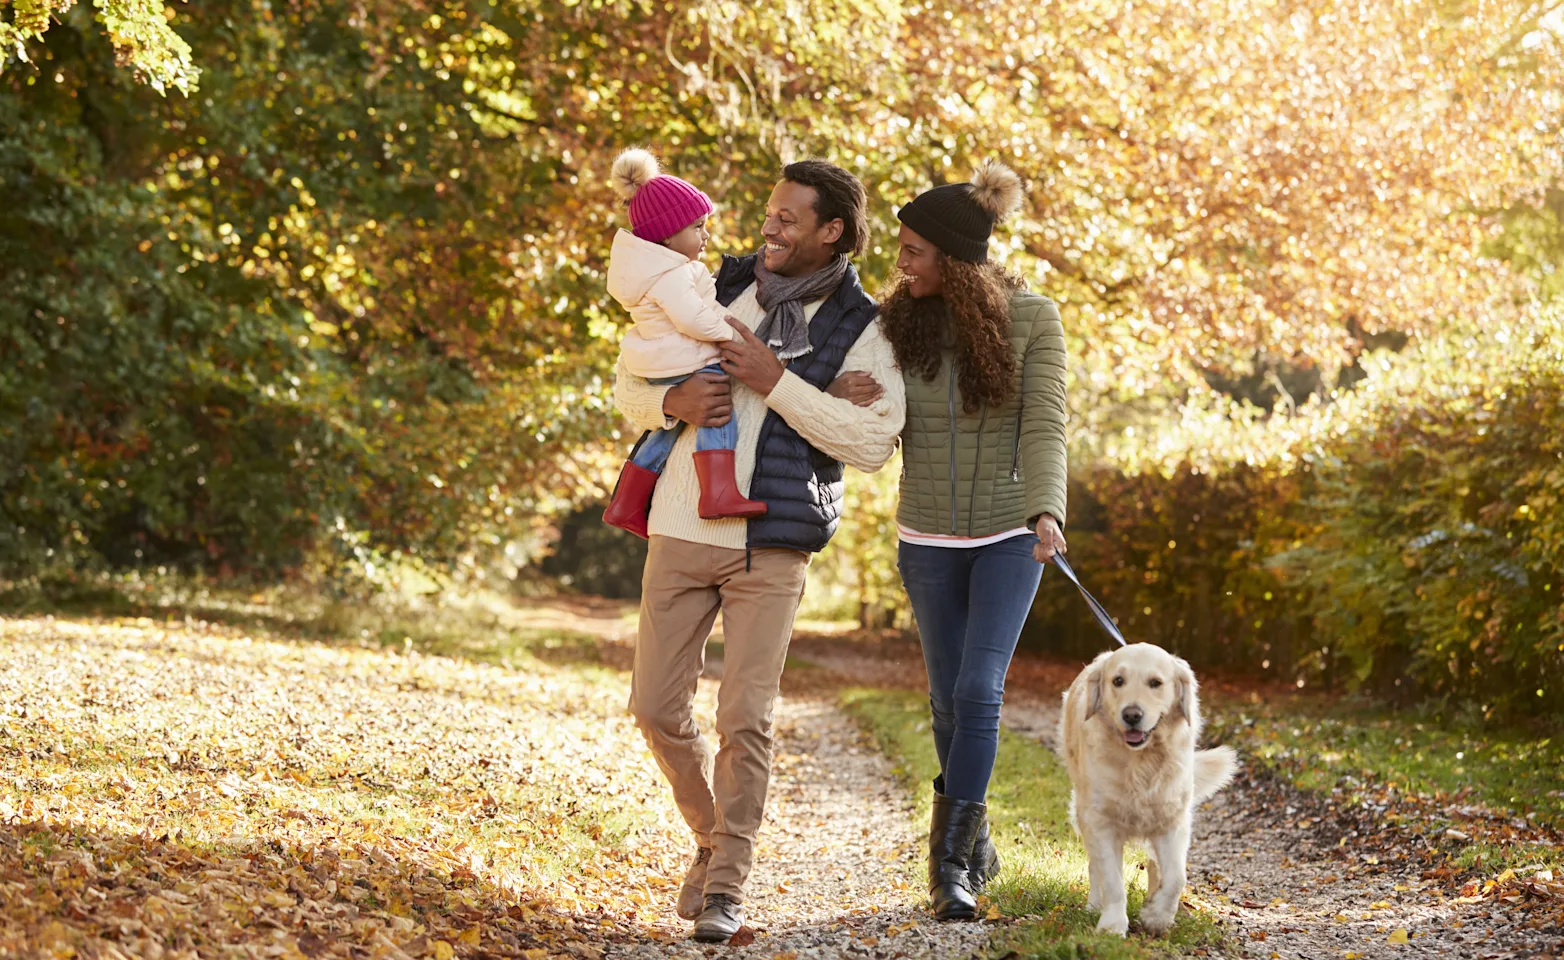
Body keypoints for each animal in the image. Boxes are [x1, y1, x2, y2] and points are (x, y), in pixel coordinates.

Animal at [1057, 644, 1238, 938]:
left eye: (1155, 683)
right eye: (1118, 681)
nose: (1132, 715)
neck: (1141, 762)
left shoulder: (1172, 822)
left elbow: (1177, 877)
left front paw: (1157, 916)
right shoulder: (1099, 821)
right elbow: (1112, 880)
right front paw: (1112, 925)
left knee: (1157, 868)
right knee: (1095, 866)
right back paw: (1095, 905)